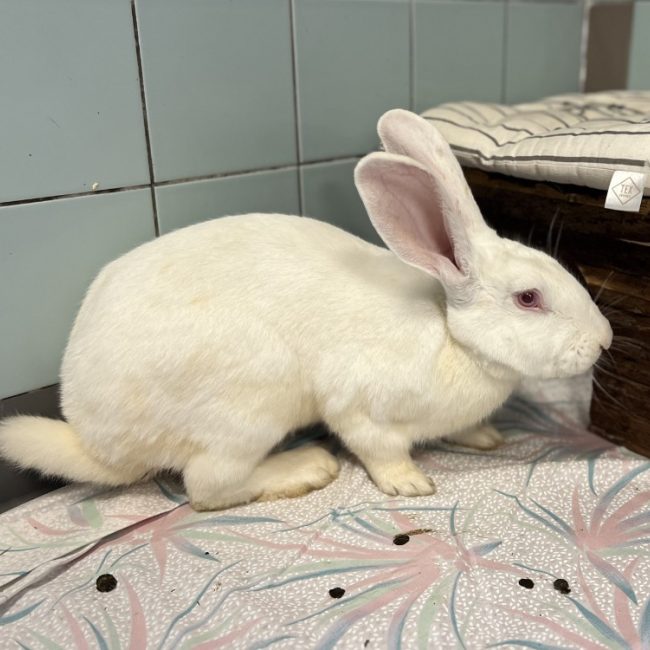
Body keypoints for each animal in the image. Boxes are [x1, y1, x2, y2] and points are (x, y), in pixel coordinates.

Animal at [0, 109, 612, 511]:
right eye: (529, 298)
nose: (604, 339)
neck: (451, 336)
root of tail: (95, 438)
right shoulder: (360, 406)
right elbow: (379, 449)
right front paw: (410, 484)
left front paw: (485, 438)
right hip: (250, 402)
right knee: (208, 487)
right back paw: (306, 469)